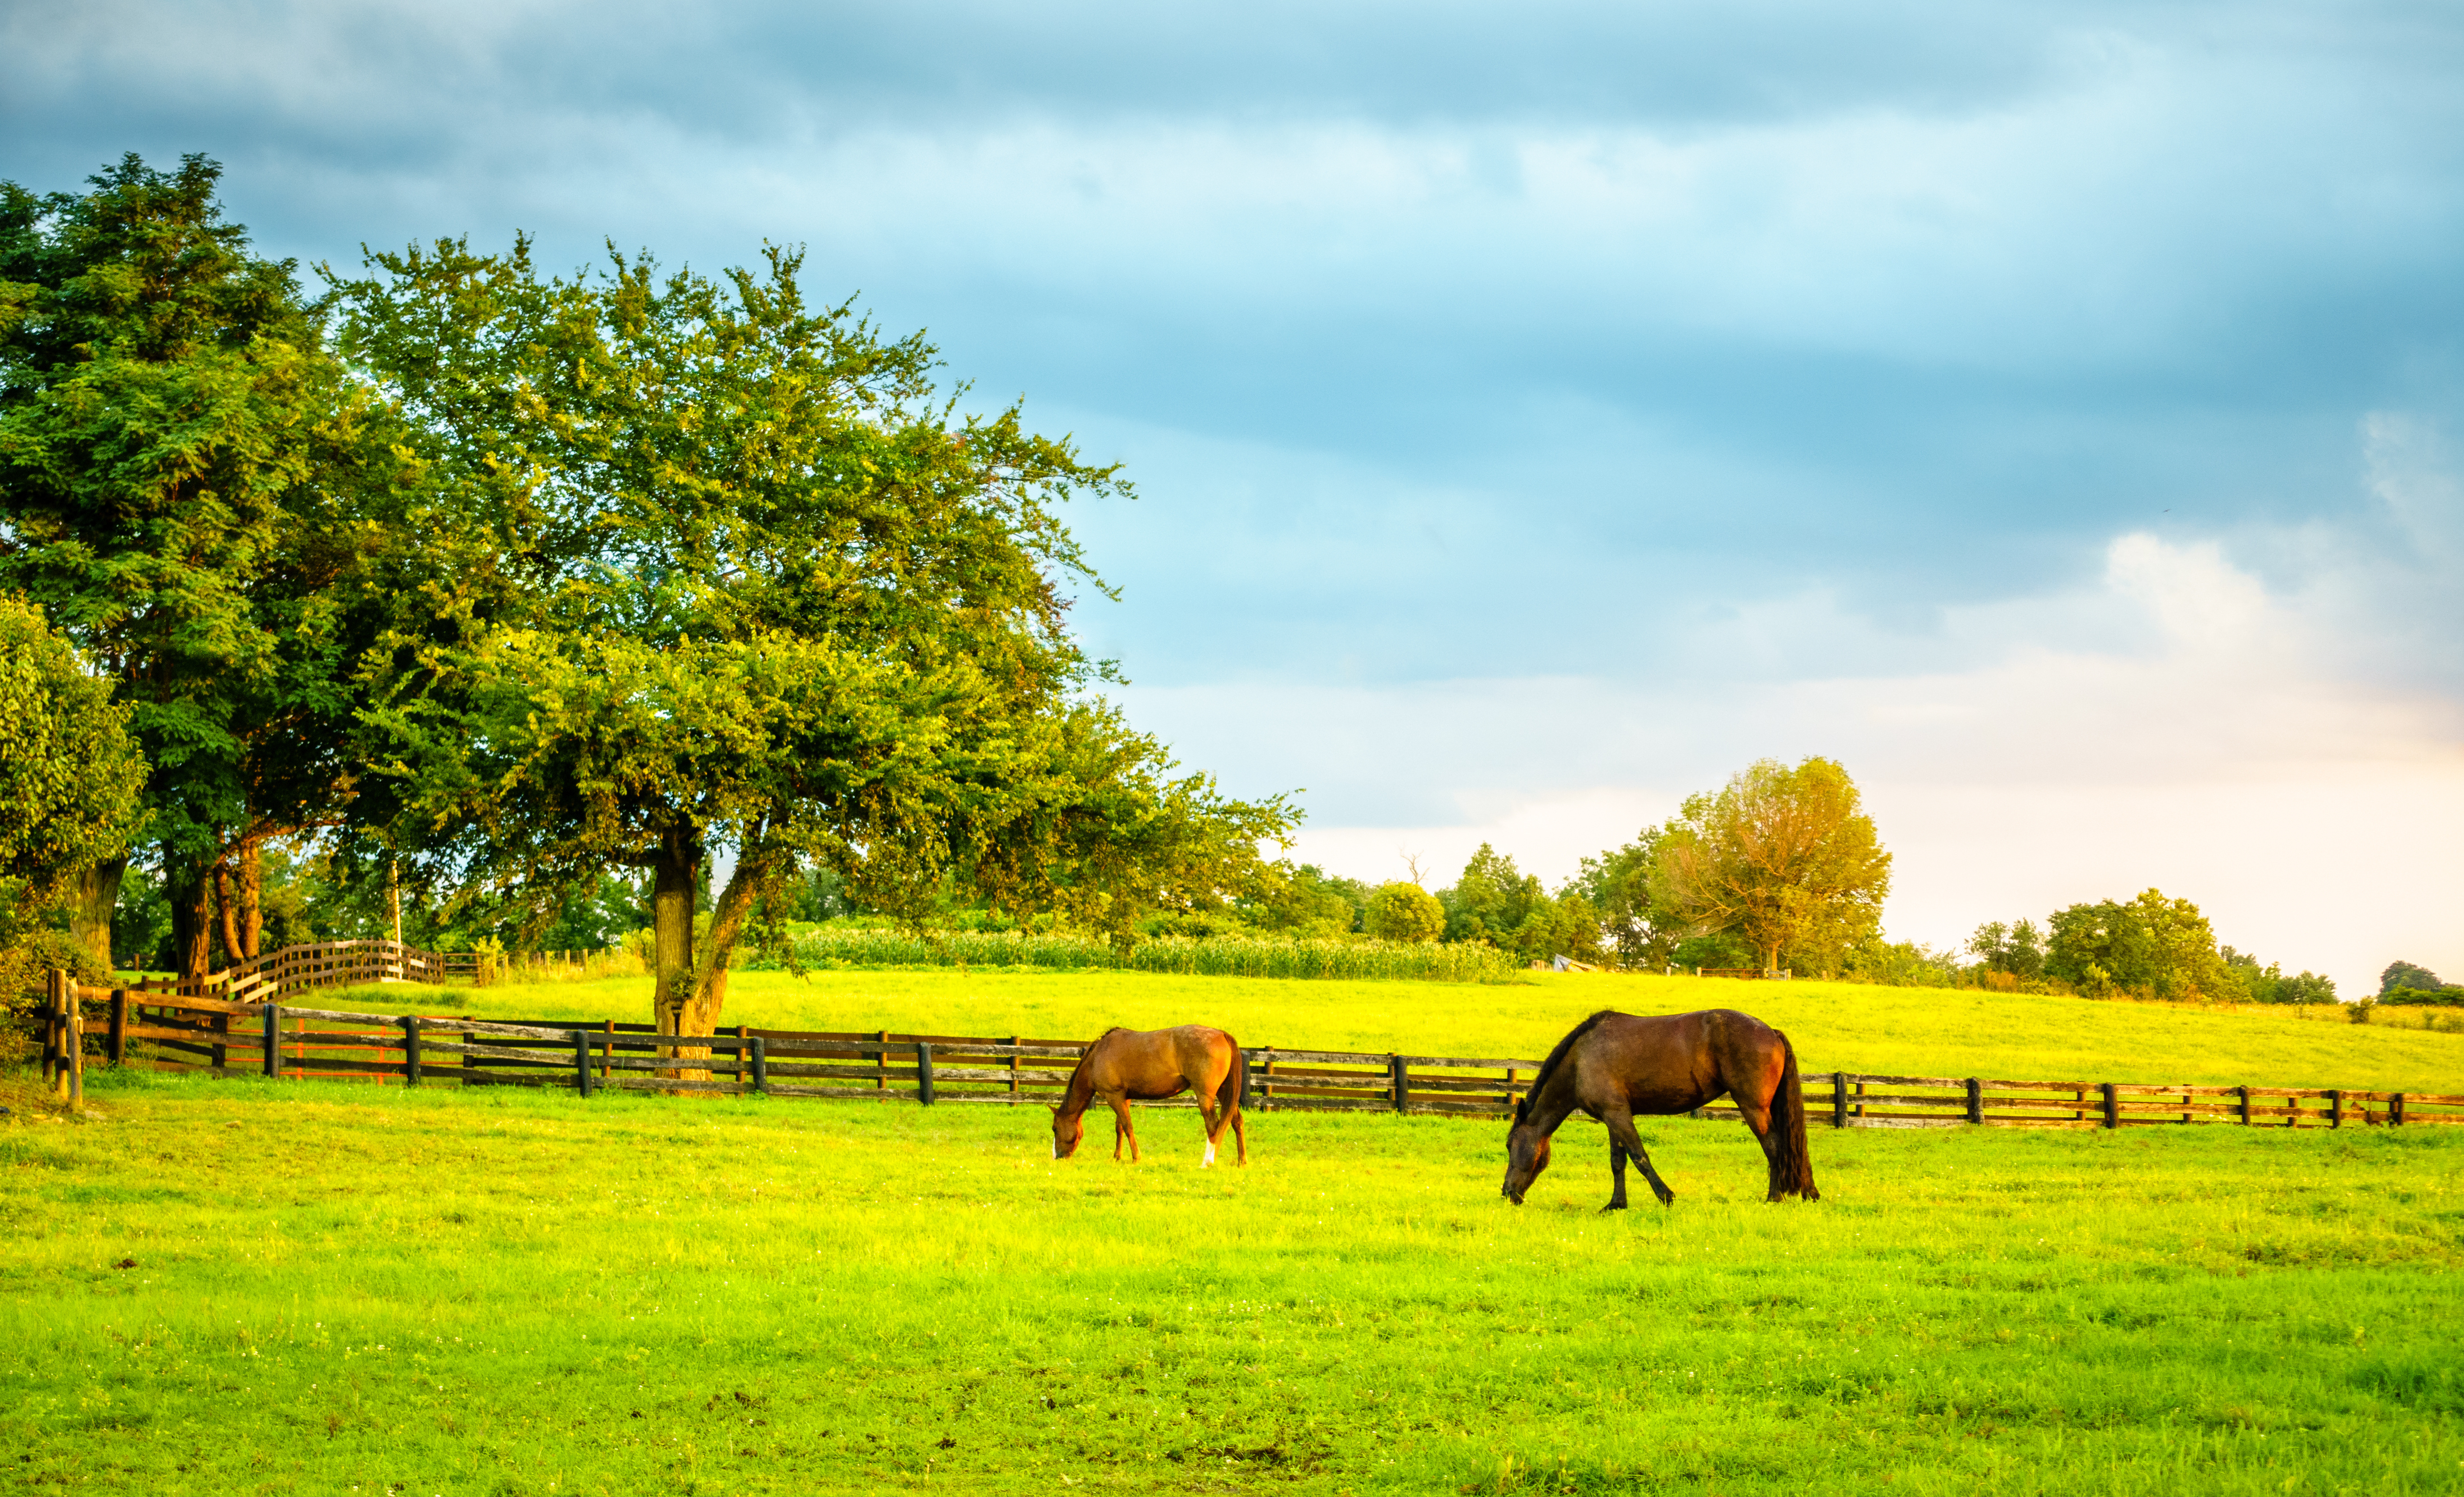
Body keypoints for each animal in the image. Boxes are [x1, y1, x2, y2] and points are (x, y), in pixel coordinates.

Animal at [1050, 1029, 1251, 1172]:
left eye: (1054, 1128)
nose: (1057, 1157)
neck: (1097, 1057)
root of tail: (1222, 1034)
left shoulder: (1114, 1096)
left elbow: (1128, 1127)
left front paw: (1136, 1158)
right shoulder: (1124, 1097)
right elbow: (1120, 1128)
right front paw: (1117, 1157)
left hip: (1205, 1096)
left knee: (1213, 1126)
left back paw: (1207, 1162)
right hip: (1224, 1092)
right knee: (1236, 1122)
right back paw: (1242, 1161)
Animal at [1488, 1004, 1823, 1206]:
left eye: (1509, 1145)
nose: (1507, 1193)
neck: (1581, 1058)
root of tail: (1772, 1032)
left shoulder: (1619, 1115)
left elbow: (1640, 1157)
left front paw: (1666, 1196)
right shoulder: (1613, 1117)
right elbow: (1618, 1162)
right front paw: (1616, 1204)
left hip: (1754, 1108)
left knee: (1775, 1147)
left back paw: (1774, 1198)